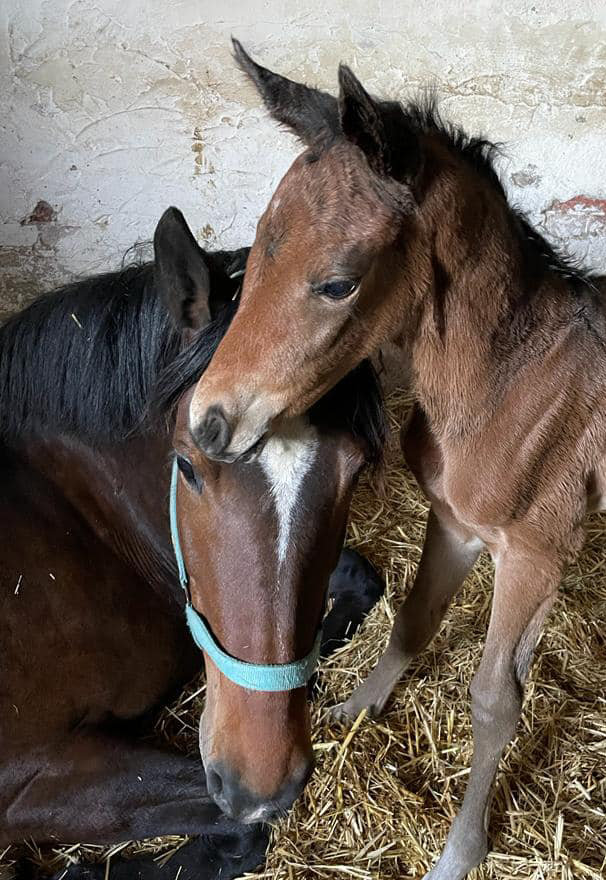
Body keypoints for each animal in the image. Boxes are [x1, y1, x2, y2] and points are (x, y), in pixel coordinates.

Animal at [194, 46, 606, 880]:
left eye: (338, 282)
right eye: (257, 250)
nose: (210, 422)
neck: (507, 383)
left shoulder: (537, 553)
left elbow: (496, 700)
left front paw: (460, 851)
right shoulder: (453, 521)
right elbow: (413, 619)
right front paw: (358, 705)